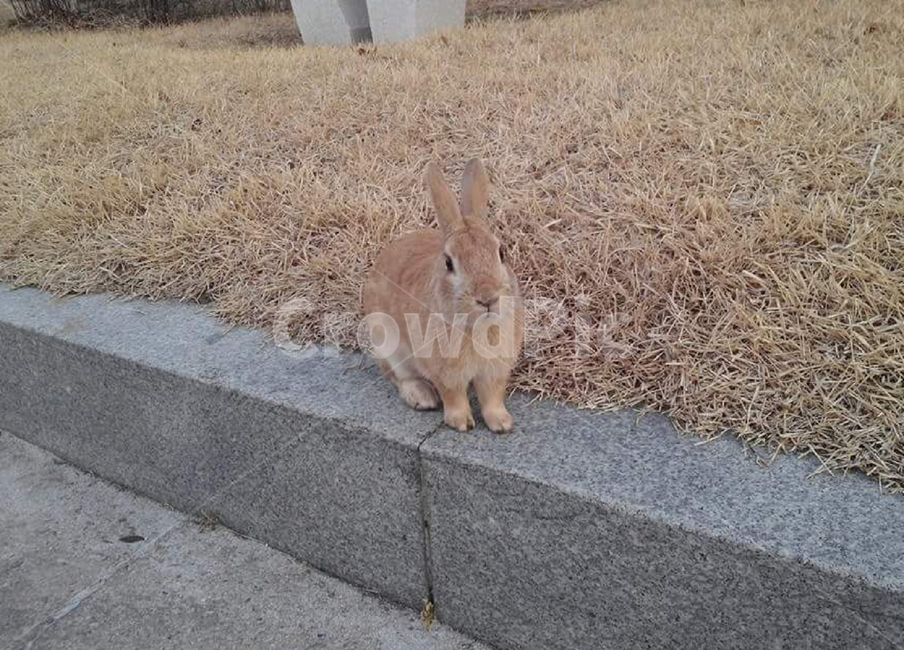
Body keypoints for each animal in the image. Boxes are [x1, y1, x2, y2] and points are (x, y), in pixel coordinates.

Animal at [363, 158, 524, 433]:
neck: (474, 326)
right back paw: (422, 397)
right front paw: (461, 424)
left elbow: (492, 396)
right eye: (449, 263)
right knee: (398, 375)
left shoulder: (495, 370)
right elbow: (453, 395)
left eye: (501, 253)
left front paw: (502, 424)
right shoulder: (446, 373)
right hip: (388, 343)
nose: (488, 298)